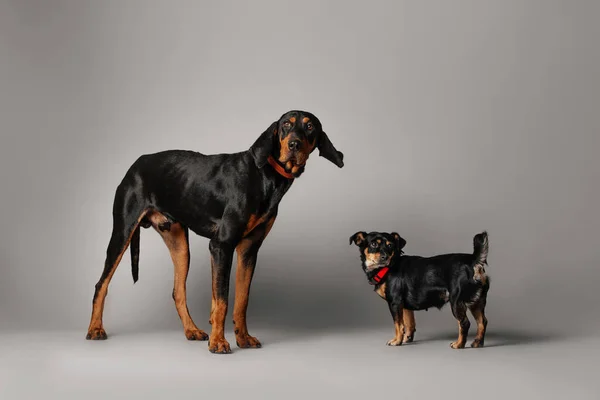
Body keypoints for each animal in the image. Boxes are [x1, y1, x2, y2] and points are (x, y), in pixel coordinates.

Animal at [86, 109, 344, 354]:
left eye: (309, 127)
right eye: (286, 125)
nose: (294, 145)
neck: (265, 176)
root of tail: (137, 163)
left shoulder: (249, 250)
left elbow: (241, 300)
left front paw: (243, 338)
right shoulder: (222, 246)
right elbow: (222, 299)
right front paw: (218, 342)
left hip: (179, 245)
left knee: (178, 291)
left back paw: (191, 330)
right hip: (123, 232)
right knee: (101, 284)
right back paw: (95, 329)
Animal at [350, 231, 490, 350]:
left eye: (390, 245)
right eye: (373, 244)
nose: (385, 257)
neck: (388, 267)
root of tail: (474, 260)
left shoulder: (394, 303)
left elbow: (398, 325)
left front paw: (397, 341)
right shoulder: (405, 306)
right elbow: (409, 324)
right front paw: (406, 339)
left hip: (456, 302)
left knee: (464, 323)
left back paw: (459, 344)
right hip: (477, 302)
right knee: (482, 322)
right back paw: (478, 342)